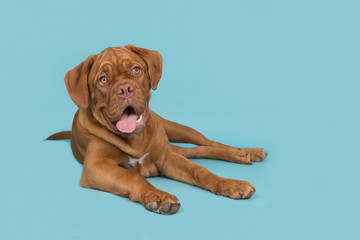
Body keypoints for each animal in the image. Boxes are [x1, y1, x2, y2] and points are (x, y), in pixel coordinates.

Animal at [47, 45, 268, 216]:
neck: (134, 140)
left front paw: (230, 184)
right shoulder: (96, 166)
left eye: (136, 70)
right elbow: (131, 176)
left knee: (207, 143)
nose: (125, 89)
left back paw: (244, 152)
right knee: (195, 151)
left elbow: (199, 170)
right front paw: (159, 196)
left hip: (177, 130)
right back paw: (243, 154)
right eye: (103, 80)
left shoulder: (165, 157)